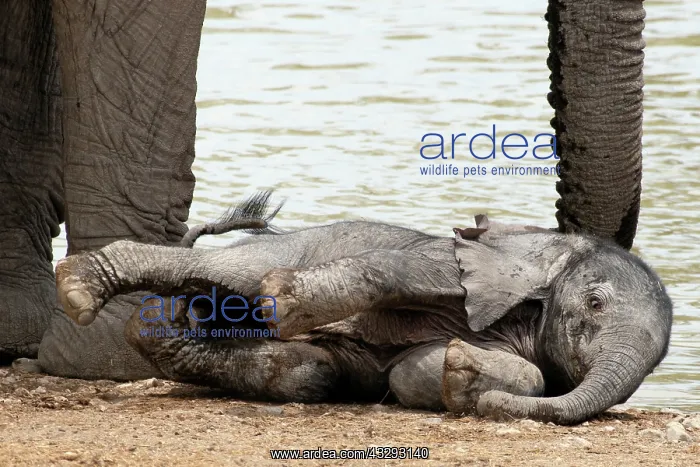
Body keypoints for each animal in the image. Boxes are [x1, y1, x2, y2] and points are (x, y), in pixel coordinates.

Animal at [52, 192, 673, 425]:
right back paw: (81, 288)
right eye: (594, 303)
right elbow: (398, 269)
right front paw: (283, 301)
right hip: (284, 247)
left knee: (313, 371)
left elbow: (414, 375)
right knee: (241, 273)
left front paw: (462, 373)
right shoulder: (454, 260)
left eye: (659, 364)